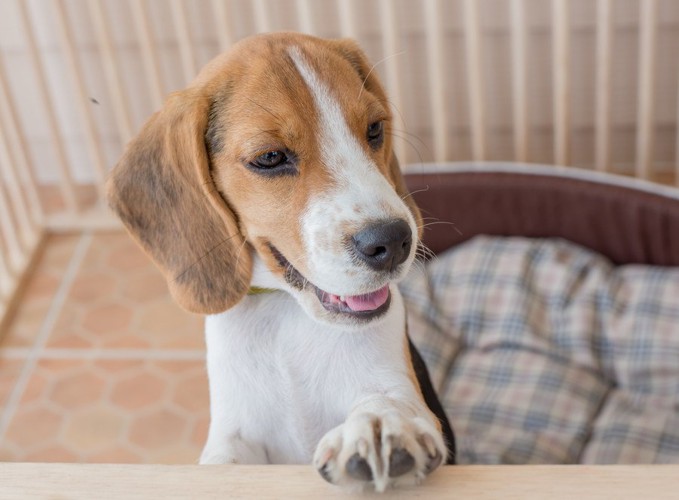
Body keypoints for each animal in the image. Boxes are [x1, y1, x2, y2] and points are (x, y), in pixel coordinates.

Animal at [106, 32, 454, 492]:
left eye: (374, 129)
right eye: (270, 158)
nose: (394, 240)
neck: (287, 314)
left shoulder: (400, 384)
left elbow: (389, 401)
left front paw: (379, 425)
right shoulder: (235, 433)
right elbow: (221, 462)